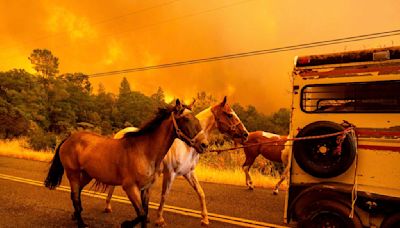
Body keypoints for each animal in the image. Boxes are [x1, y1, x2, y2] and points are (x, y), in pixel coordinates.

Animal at [43, 100, 208, 228]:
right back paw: (82, 223)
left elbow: (144, 214)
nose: (204, 145)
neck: (144, 151)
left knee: (76, 195)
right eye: (186, 119)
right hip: (73, 174)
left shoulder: (145, 189)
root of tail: (68, 139)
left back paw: (76, 216)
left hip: (86, 175)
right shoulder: (130, 187)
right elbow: (141, 214)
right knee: (75, 197)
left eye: (197, 120)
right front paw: (125, 224)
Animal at [104, 96, 247, 226]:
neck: (186, 146)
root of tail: (120, 134)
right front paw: (160, 219)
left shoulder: (189, 173)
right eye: (229, 115)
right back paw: (108, 206)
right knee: (112, 187)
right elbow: (164, 195)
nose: (245, 134)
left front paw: (205, 219)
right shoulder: (170, 174)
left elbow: (201, 193)